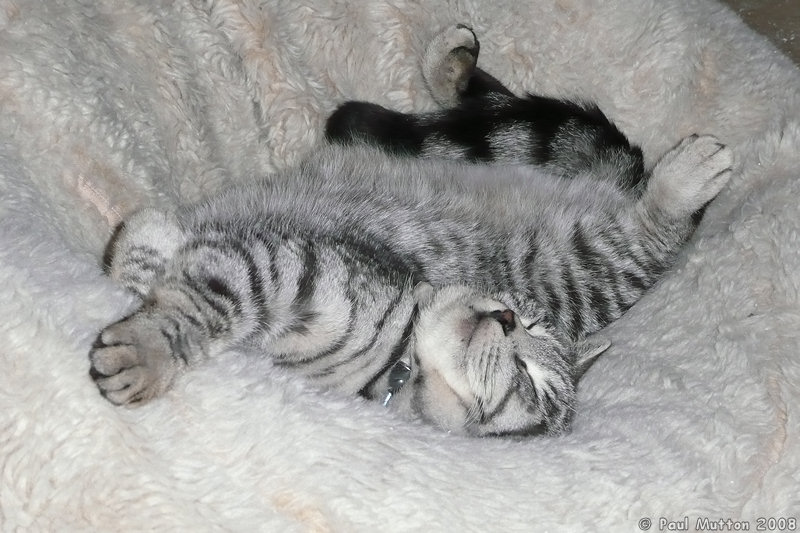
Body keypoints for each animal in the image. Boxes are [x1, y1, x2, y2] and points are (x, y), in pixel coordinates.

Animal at [87, 25, 732, 436]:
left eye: (531, 380)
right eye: (526, 323)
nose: (505, 318)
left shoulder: (280, 266)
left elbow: (198, 303)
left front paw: (147, 350)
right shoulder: (265, 262)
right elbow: (161, 270)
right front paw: (146, 252)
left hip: (591, 263)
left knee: (651, 233)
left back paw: (688, 179)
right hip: (490, 147)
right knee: (494, 107)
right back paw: (451, 61)